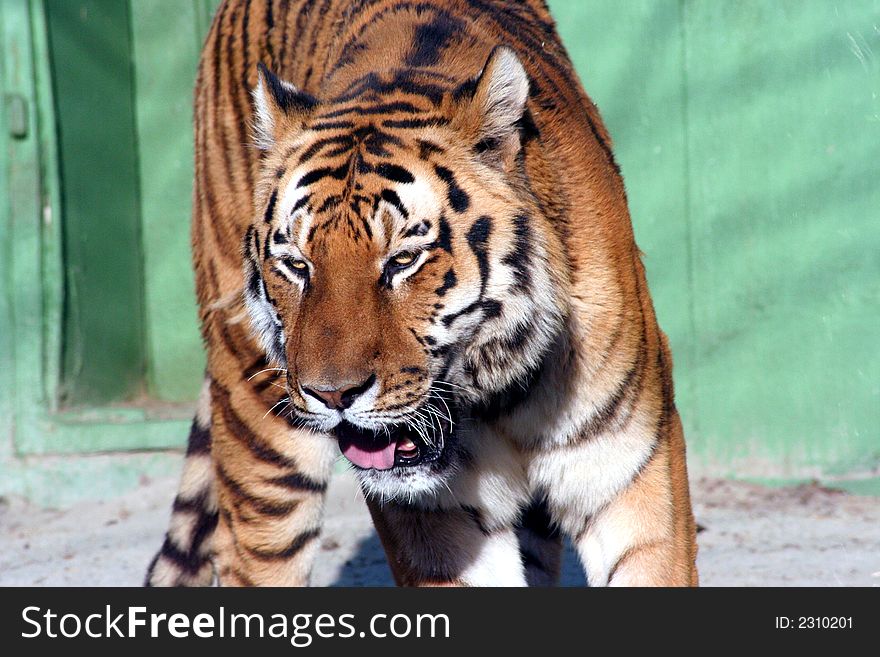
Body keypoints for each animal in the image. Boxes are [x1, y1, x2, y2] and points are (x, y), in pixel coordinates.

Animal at [144, 0, 696, 584]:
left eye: (402, 261)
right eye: (296, 265)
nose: (332, 395)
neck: (496, 400)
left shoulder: (630, 474)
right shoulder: (439, 521)